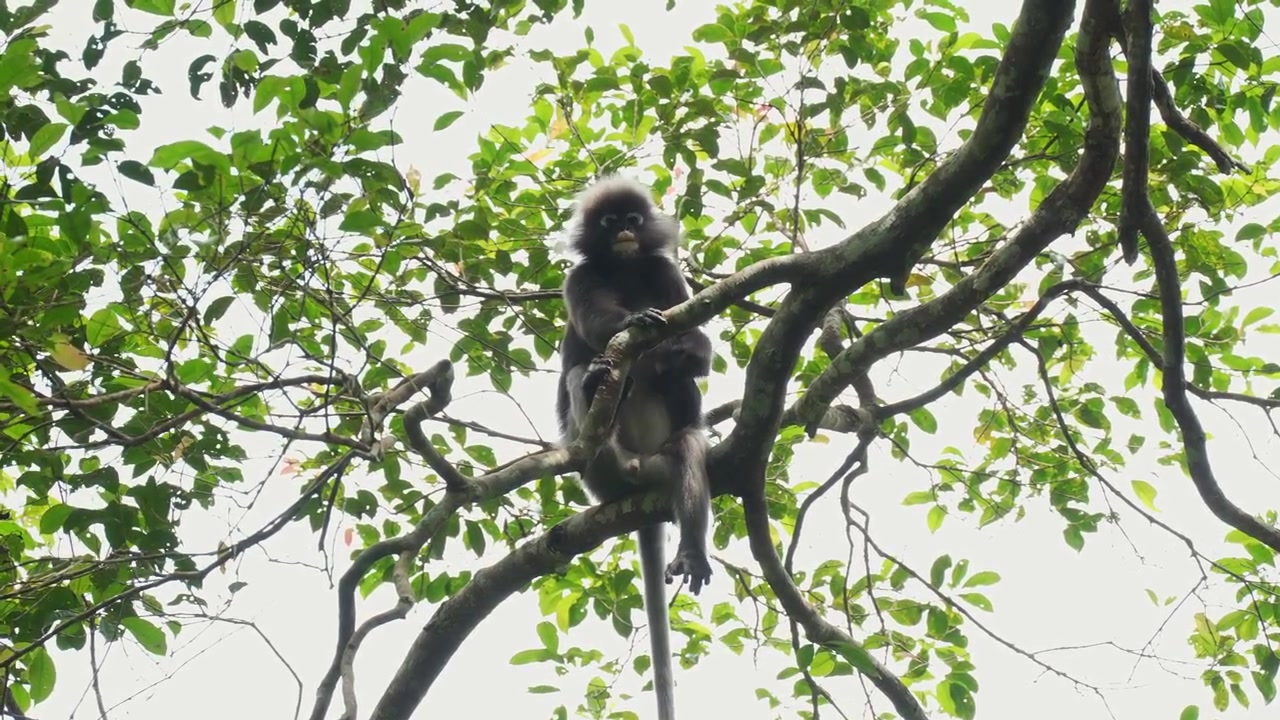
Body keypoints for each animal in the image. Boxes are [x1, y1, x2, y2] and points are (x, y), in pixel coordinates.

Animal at [555, 175, 713, 720]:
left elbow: (693, 343)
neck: (624, 266)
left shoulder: (663, 269)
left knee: (688, 442)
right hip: (598, 475)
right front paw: (634, 325)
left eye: (633, 220)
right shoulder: (579, 278)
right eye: (609, 222)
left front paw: (691, 352)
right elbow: (598, 323)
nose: (624, 231)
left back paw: (691, 553)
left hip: (661, 461)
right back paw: (596, 385)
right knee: (581, 375)